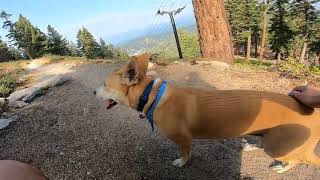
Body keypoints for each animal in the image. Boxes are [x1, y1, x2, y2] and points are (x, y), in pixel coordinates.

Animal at [95, 53, 320, 173]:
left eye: (105, 85)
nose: (94, 92)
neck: (152, 95)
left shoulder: (183, 139)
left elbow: (185, 154)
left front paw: (181, 163)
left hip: (278, 148)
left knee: (298, 159)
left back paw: (281, 167)